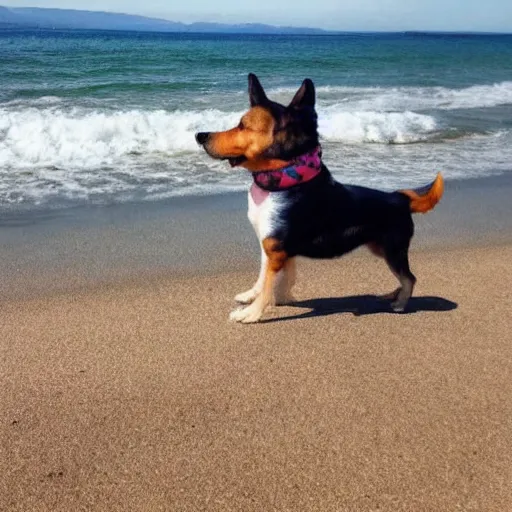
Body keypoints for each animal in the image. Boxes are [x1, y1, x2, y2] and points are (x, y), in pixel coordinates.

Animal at [194, 73, 442, 322]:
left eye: (242, 126)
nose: (199, 135)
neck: (287, 178)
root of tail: (401, 198)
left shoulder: (277, 250)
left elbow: (268, 286)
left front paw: (252, 313)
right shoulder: (272, 247)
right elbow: (266, 277)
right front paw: (261, 296)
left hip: (393, 249)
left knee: (409, 277)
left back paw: (400, 302)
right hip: (381, 248)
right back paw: (392, 294)